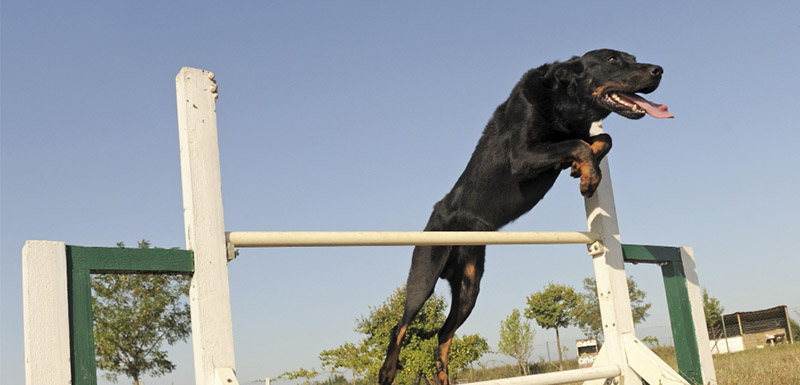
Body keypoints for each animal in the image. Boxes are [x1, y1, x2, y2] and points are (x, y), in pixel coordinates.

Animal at [378, 48, 672, 384]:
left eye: (632, 58)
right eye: (612, 60)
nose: (658, 70)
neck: (563, 101)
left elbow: (601, 139)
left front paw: (582, 170)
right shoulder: (523, 156)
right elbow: (578, 143)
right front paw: (588, 178)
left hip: (469, 287)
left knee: (443, 333)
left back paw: (442, 376)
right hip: (426, 272)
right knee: (400, 325)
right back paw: (387, 370)